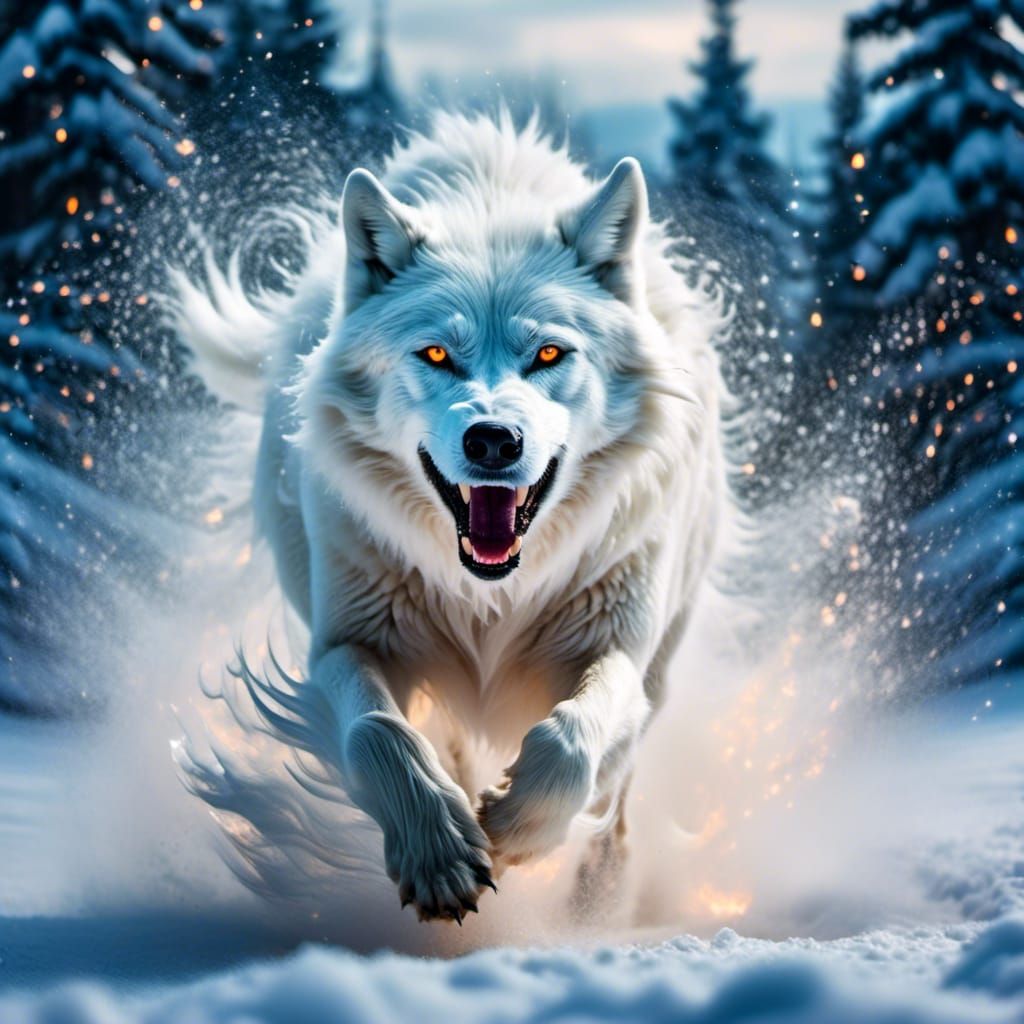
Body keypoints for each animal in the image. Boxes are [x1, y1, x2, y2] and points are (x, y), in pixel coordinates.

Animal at [172, 112, 726, 923]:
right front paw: (440, 852)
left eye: (548, 353)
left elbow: (572, 738)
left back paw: (596, 893)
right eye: (436, 354)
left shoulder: (615, 647)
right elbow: (379, 732)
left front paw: (517, 826)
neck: (492, 594)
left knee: (619, 780)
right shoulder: (345, 643)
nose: (493, 439)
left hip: (662, 652)